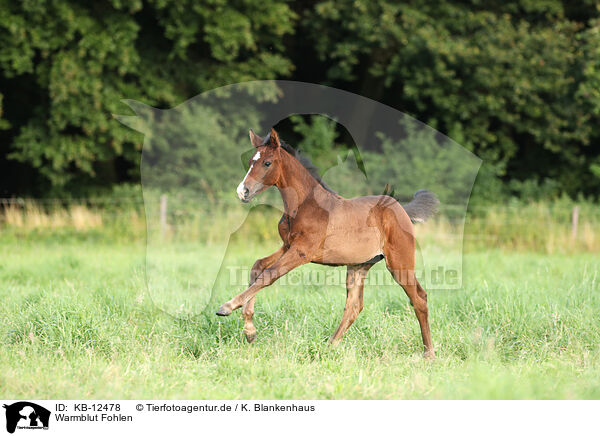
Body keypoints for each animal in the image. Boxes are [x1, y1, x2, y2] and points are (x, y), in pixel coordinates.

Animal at [216, 127, 436, 358]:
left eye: (267, 163)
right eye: (251, 161)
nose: (243, 191)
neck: (304, 205)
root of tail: (401, 210)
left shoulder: (302, 252)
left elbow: (269, 275)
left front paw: (227, 307)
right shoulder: (287, 246)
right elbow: (257, 266)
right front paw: (249, 330)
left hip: (399, 262)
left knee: (419, 298)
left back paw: (429, 353)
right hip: (358, 265)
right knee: (354, 306)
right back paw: (329, 346)